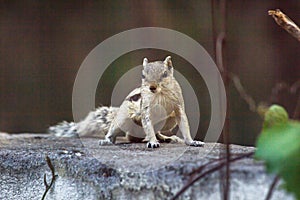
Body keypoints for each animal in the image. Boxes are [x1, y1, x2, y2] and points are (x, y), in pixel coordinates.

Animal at [49, 55, 204, 148]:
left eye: (165, 74)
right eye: (143, 75)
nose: (152, 87)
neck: (161, 93)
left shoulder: (178, 106)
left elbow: (183, 124)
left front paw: (192, 141)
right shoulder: (146, 108)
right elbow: (148, 124)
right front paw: (153, 142)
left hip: (168, 121)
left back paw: (165, 138)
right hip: (122, 119)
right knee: (121, 134)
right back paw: (107, 140)